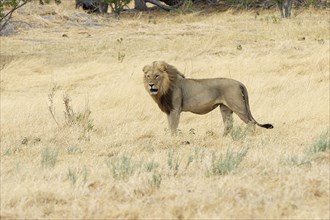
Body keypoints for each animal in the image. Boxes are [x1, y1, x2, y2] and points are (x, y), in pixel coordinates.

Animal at [142, 60, 274, 136]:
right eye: (148, 76)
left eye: (157, 76)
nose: (150, 85)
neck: (164, 88)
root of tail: (239, 83)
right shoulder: (169, 111)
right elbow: (170, 126)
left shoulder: (175, 110)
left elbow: (173, 127)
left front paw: (173, 139)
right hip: (225, 108)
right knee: (228, 124)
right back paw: (224, 137)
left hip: (238, 106)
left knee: (251, 122)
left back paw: (250, 136)